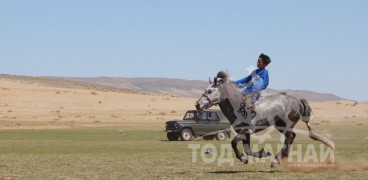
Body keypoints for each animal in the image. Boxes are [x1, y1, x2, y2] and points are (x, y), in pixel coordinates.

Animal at [197, 71, 334, 167]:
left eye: (210, 91)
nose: (197, 105)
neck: (238, 107)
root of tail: (298, 101)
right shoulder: (245, 133)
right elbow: (247, 150)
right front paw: (258, 155)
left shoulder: (247, 130)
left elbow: (233, 143)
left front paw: (244, 158)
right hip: (280, 125)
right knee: (292, 137)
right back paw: (282, 159)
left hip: (287, 124)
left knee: (288, 139)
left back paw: (276, 161)